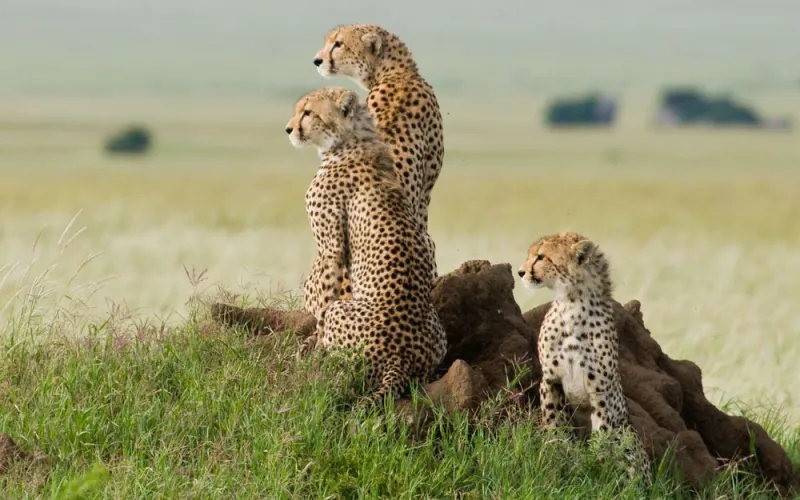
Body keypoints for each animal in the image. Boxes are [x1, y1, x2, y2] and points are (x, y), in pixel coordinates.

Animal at [284, 86, 447, 404]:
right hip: (438, 333)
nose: (289, 129)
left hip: (343, 314)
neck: (350, 140)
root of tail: (401, 356)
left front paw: (312, 349)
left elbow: (323, 303)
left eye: (307, 112)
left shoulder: (330, 250)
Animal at [518, 231, 652, 480]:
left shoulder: (600, 390)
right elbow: (553, 420)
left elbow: (602, 432)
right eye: (530, 255)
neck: (572, 304)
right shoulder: (551, 379)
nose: (521, 272)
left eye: (541, 257)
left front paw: (597, 465)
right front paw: (554, 451)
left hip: (627, 435)